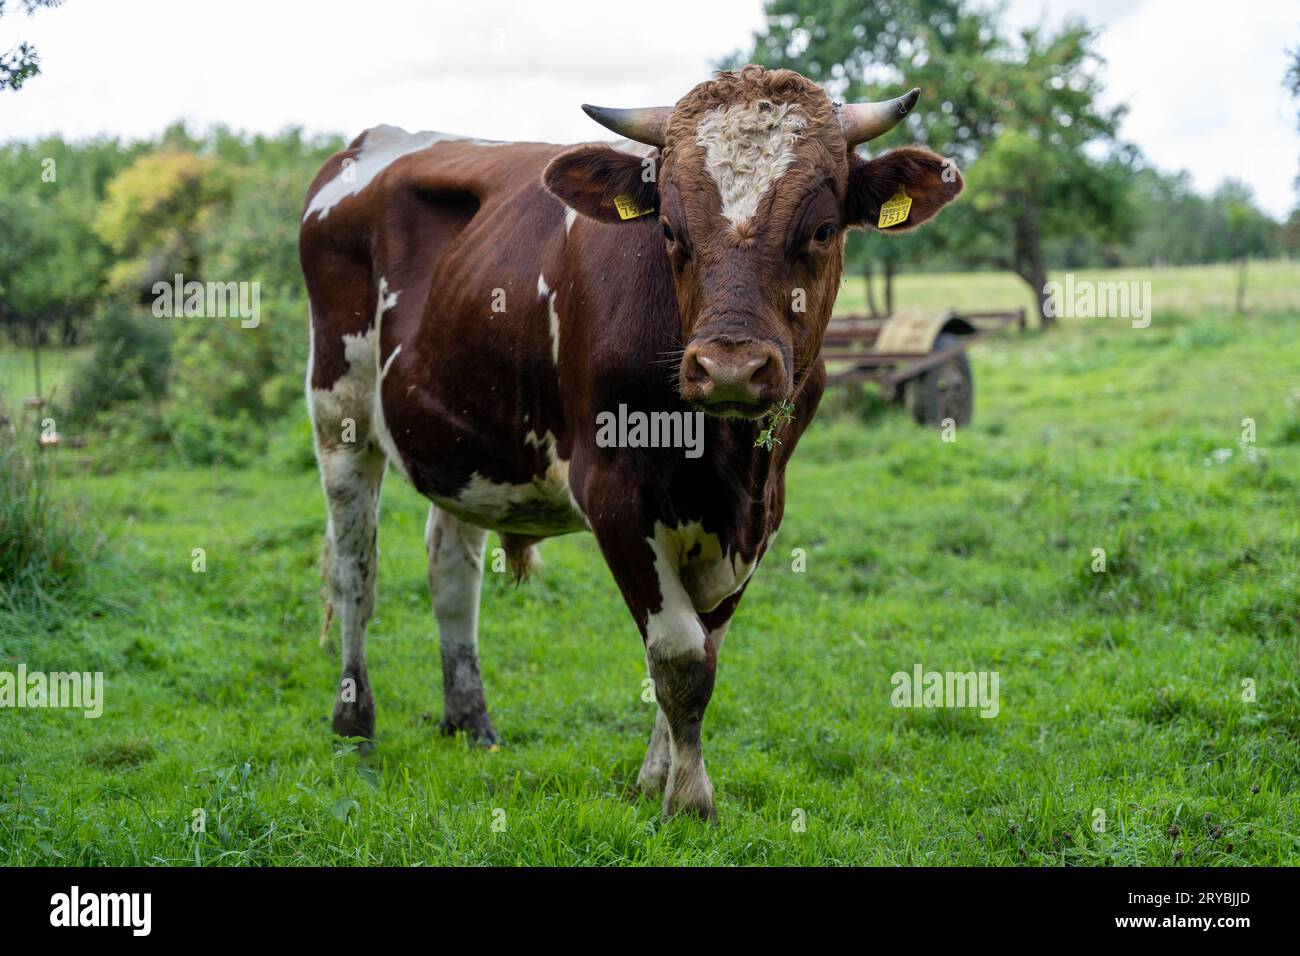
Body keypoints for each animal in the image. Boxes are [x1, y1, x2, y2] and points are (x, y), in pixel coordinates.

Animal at [299, 64, 962, 822]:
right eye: (669, 230)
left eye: (822, 229)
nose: (728, 367)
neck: (729, 456)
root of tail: (371, 142)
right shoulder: (615, 495)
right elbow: (679, 655)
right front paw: (689, 800)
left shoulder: (762, 512)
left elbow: (706, 646)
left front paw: (655, 778)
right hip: (339, 412)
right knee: (356, 569)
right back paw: (355, 727)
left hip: (464, 440)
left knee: (450, 571)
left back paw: (470, 722)